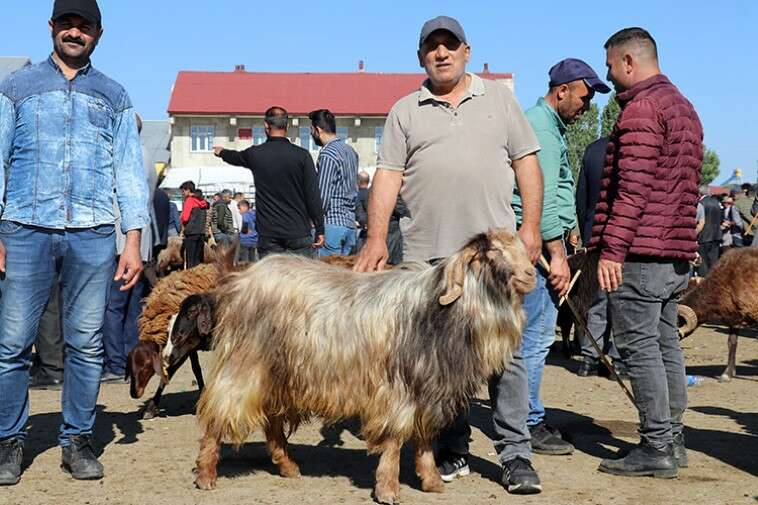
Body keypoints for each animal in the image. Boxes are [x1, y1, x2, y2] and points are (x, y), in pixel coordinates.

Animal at [188, 229, 536, 504]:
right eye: (493, 250)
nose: (531, 274)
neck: (439, 310)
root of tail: (238, 280)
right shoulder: (398, 391)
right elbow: (395, 439)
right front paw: (388, 490)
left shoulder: (428, 391)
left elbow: (424, 439)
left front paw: (432, 481)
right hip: (245, 365)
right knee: (219, 413)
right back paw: (205, 475)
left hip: (278, 374)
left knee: (271, 422)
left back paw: (289, 467)